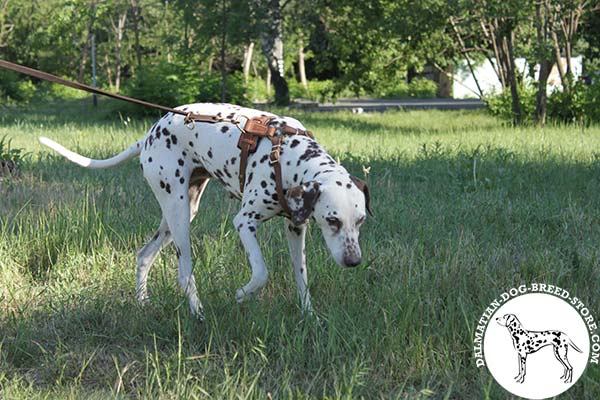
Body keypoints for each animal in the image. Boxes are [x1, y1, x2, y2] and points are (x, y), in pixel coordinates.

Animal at [38, 104, 370, 322]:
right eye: (332, 220)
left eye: (361, 220)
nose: (354, 261)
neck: (288, 155)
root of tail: (149, 134)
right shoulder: (245, 223)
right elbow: (261, 272)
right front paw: (242, 294)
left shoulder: (296, 227)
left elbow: (301, 276)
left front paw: (309, 314)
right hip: (179, 214)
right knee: (184, 272)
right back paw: (198, 312)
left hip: (179, 214)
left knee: (144, 255)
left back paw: (143, 302)